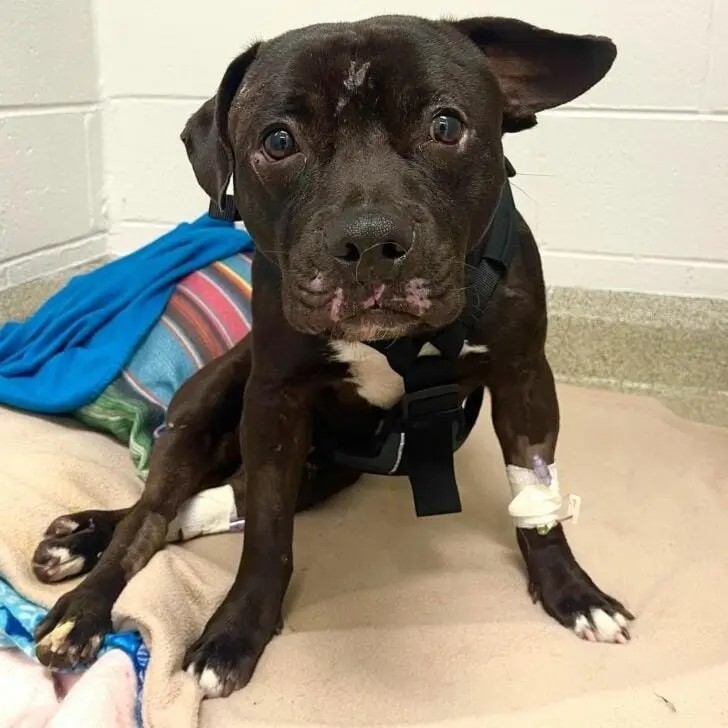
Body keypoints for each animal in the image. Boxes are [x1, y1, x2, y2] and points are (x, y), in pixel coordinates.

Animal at [31, 14, 632, 699]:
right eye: (279, 140)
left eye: (446, 126)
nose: (369, 241)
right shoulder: (274, 402)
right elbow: (266, 534)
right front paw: (236, 630)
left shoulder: (525, 381)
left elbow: (537, 502)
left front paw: (572, 592)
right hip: (201, 415)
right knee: (151, 514)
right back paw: (84, 590)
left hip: (323, 469)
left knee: (215, 498)